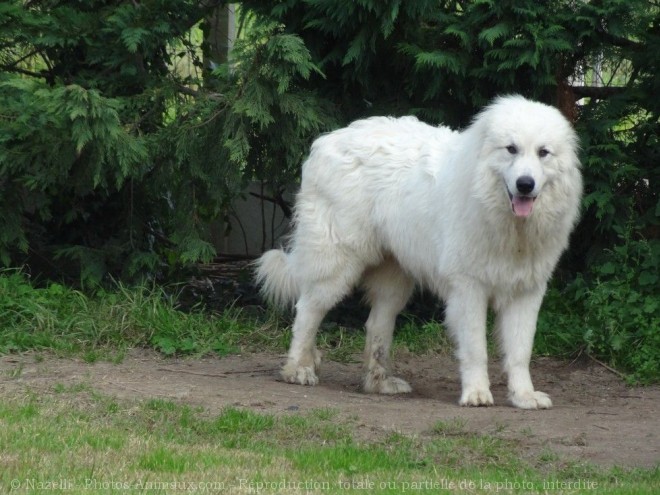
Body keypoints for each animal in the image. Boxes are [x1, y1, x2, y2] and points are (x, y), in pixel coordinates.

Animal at [255, 96, 580, 410]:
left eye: (543, 153)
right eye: (511, 149)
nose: (525, 184)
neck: (510, 225)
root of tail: (328, 139)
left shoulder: (526, 292)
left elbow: (520, 353)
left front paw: (524, 396)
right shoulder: (468, 290)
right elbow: (476, 350)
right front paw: (476, 393)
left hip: (393, 282)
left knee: (375, 328)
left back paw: (378, 383)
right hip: (337, 265)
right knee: (307, 311)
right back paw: (298, 368)